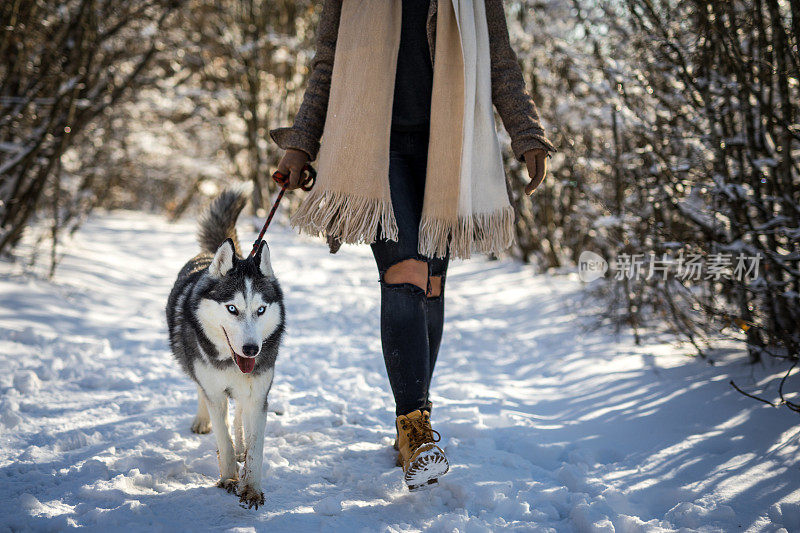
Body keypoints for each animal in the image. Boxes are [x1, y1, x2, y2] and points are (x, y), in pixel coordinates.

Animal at [166, 185, 284, 510]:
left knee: (240, 413)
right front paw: (229, 477)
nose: (251, 350)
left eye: (260, 310)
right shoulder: (215, 393)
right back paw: (201, 421)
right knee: (201, 393)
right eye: (232, 308)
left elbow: (255, 447)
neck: (232, 362)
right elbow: (223, 436)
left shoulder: (258, 394)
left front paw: (252, 488)